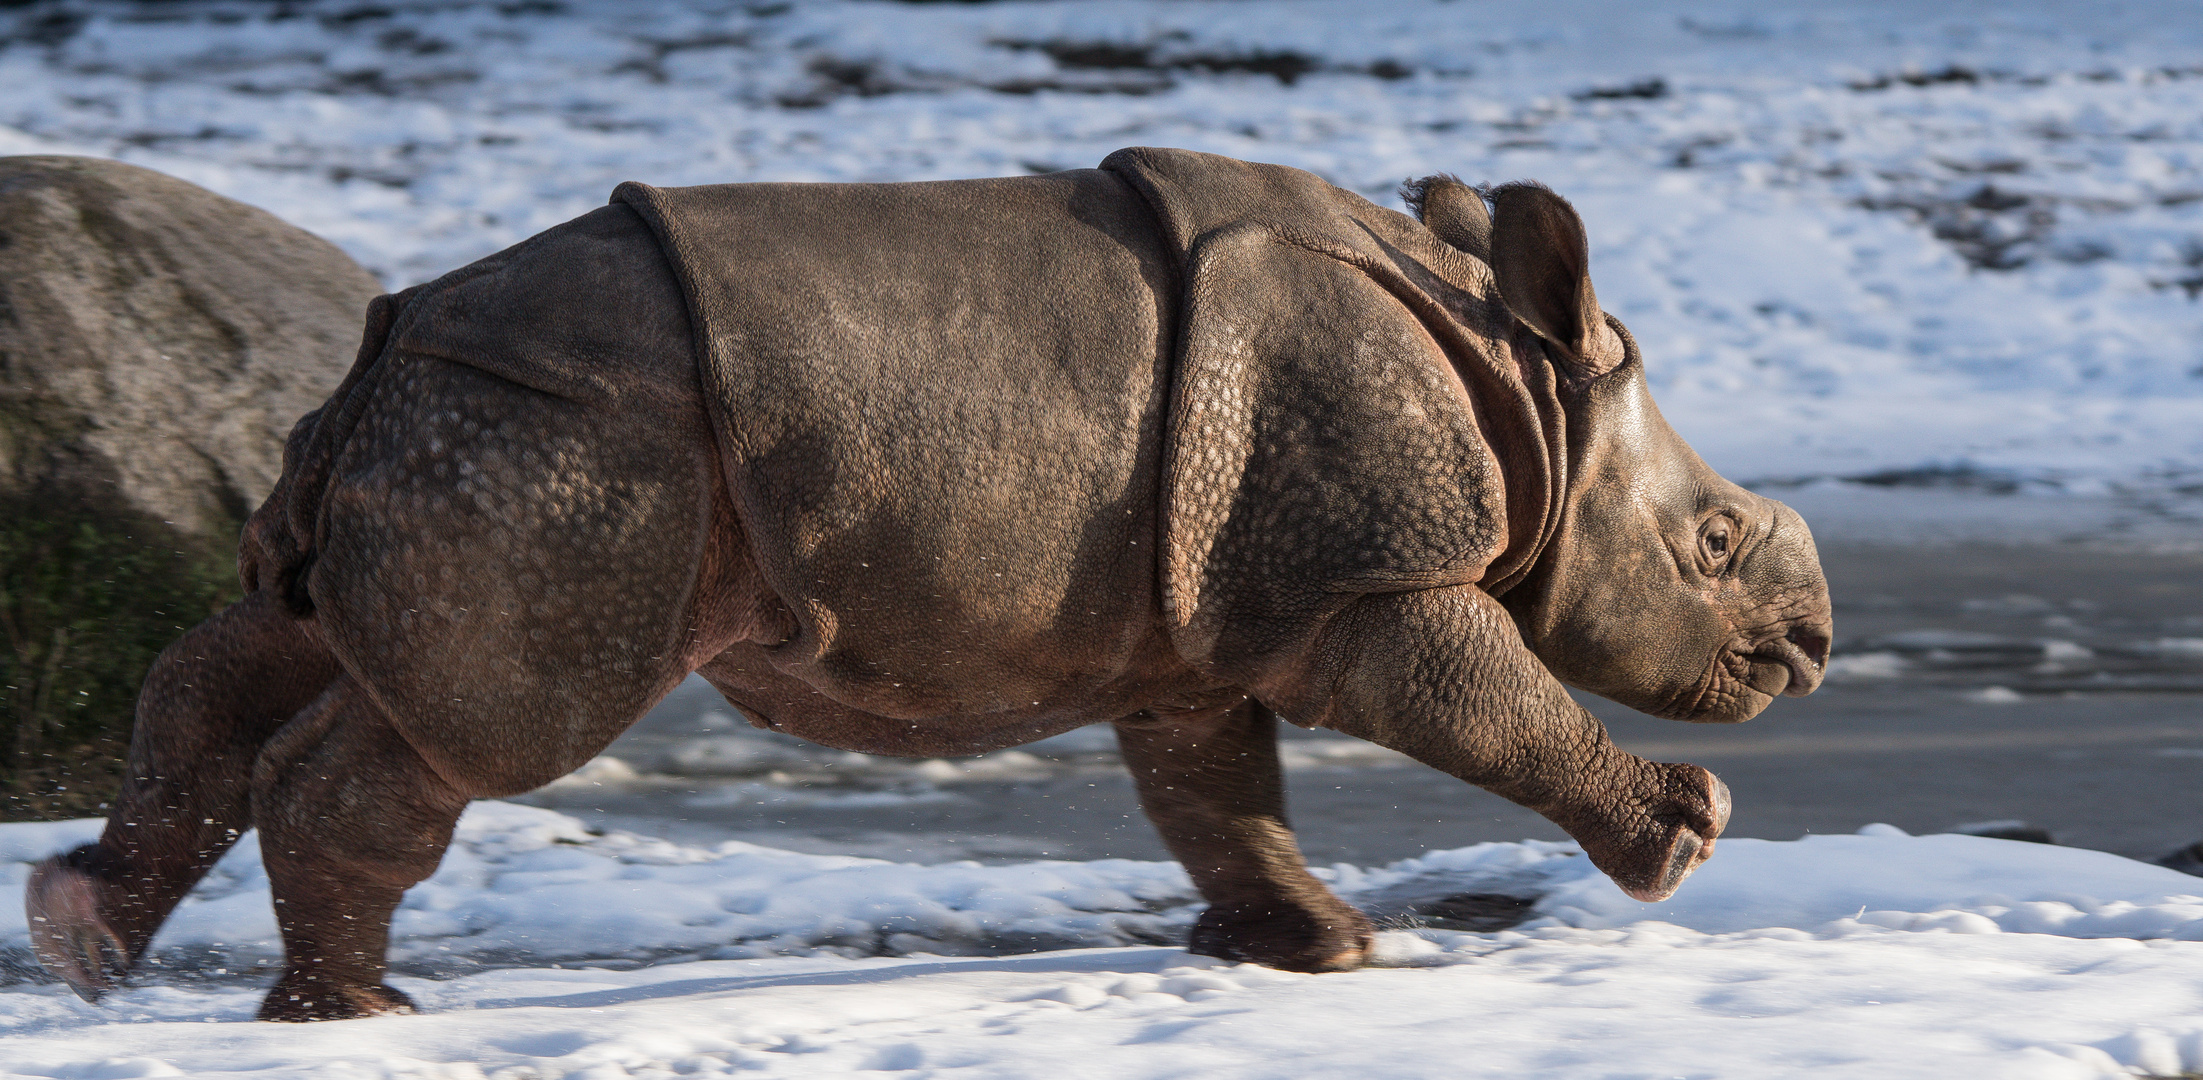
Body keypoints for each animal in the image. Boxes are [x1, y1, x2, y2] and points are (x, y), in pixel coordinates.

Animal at [25, 147, 1832, 1018]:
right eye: (1710, 546)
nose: (1806, 653)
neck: (1524, 385)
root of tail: (382, 345)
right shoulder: (1362, 579)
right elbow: (1477, 701)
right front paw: (1685, 839)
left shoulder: (1200, 609)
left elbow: (1213, 783)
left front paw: (1312, 958)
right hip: (558, 443)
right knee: (471, 731)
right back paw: (357, 1019)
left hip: (454, 433)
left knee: (266, 643)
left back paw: (88, 945)